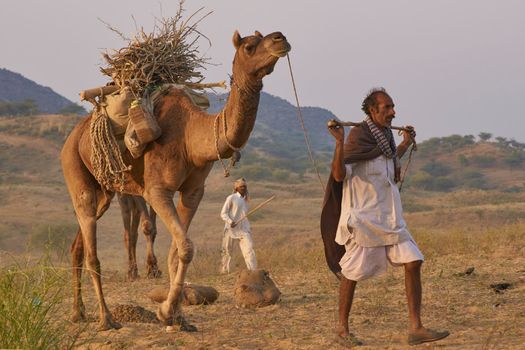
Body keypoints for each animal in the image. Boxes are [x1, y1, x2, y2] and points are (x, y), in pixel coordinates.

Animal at [62, 30, 292, 330]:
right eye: (250, 46)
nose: (280, 38)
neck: (191, 136)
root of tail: (73, 136)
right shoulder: (157, 190)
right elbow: (186, 247)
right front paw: (166, 311)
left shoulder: (193, 192)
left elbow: (175, 251)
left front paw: (178, 317)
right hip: (74, 170)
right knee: (92, 252)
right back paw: (106, 318)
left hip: (104, 192)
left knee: (78, 245)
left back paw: (78, 313)